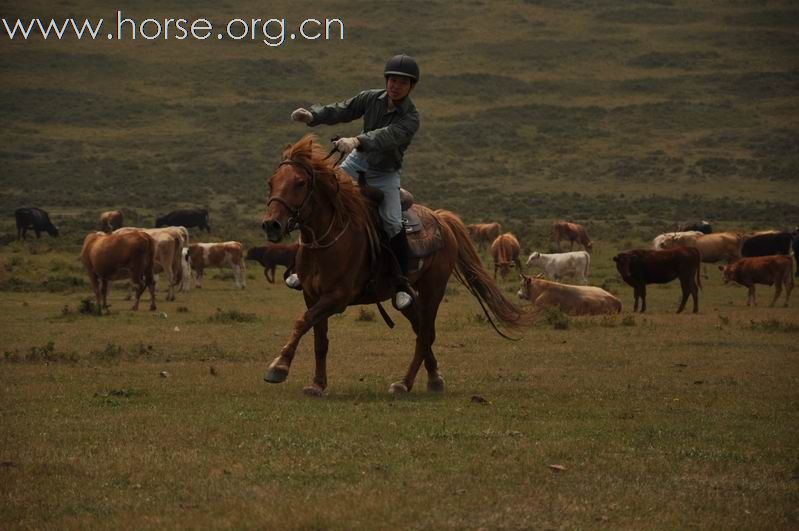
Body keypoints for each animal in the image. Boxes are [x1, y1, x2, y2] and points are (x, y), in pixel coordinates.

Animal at [260, 135, 528, 396]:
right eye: (271, 182)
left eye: (300, 183)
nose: (271, 225)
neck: (329, 238)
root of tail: (441, 218)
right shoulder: (312, 295)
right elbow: (319, 338)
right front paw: (317, 384)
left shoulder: (337, 298)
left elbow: (302, 322)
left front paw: (278, 367)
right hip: (406, 297)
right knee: (421, 330)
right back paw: (434, 378)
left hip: (433, 289)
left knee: (425, 335)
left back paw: (404, 383)